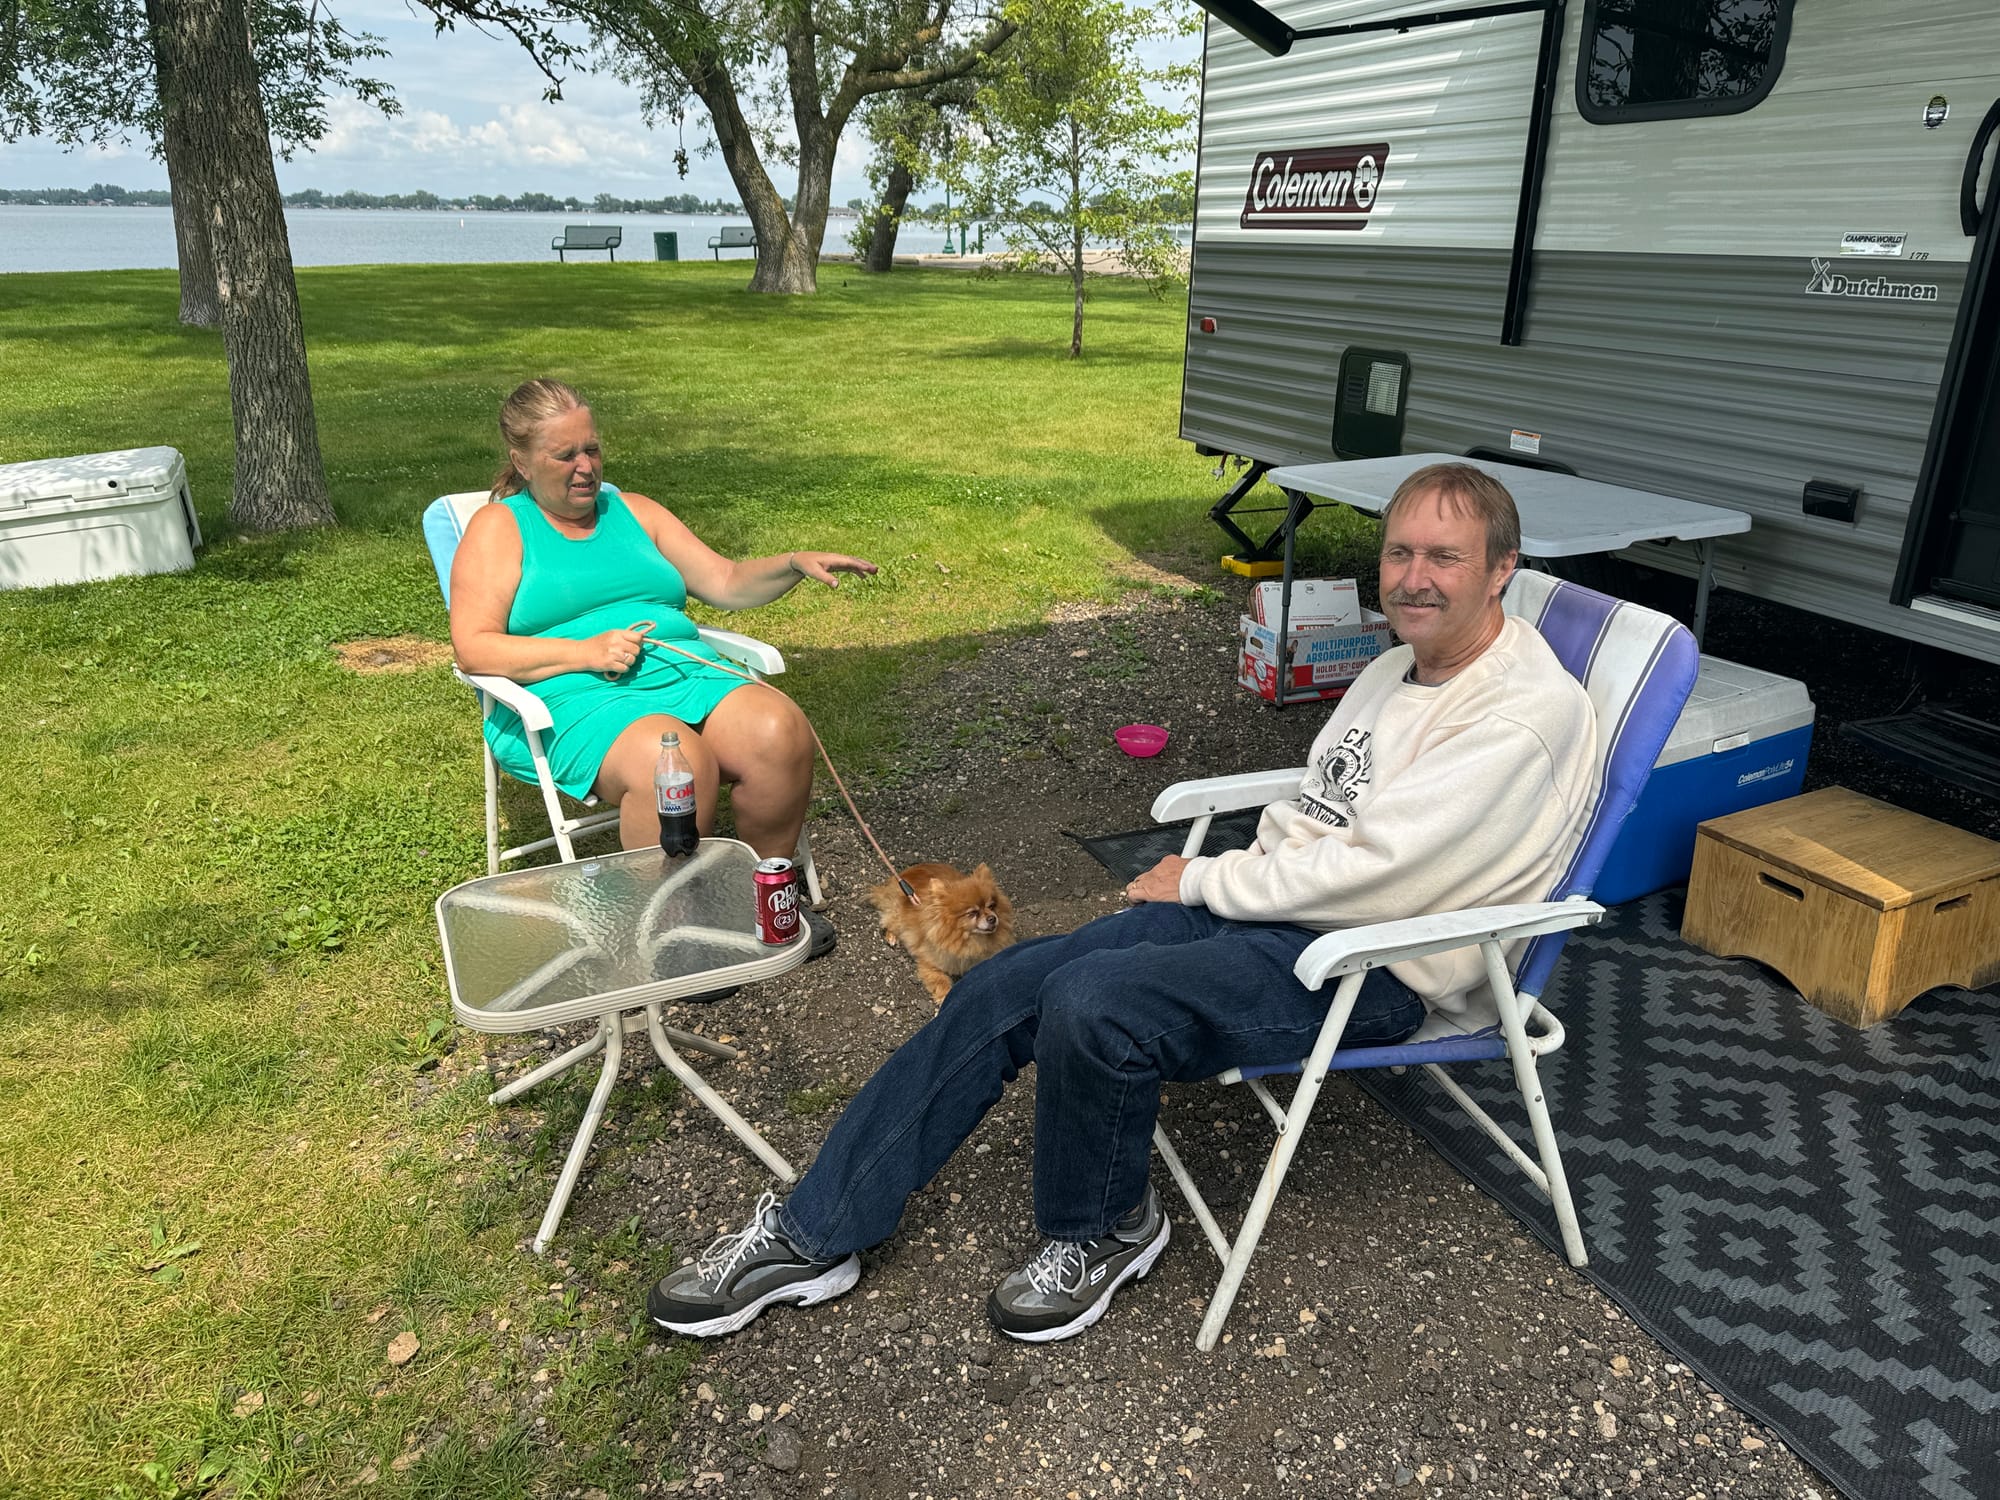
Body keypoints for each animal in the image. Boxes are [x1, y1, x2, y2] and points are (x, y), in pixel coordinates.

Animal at [868, 864, 1016, 1004]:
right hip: (897, 915)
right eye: (973, 913)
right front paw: (944, 995)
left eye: (992, 906)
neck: (968, 940)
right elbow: (940, 979)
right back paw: (892, 937)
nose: (992, 918)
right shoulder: (929, 960)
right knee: (888, 921)